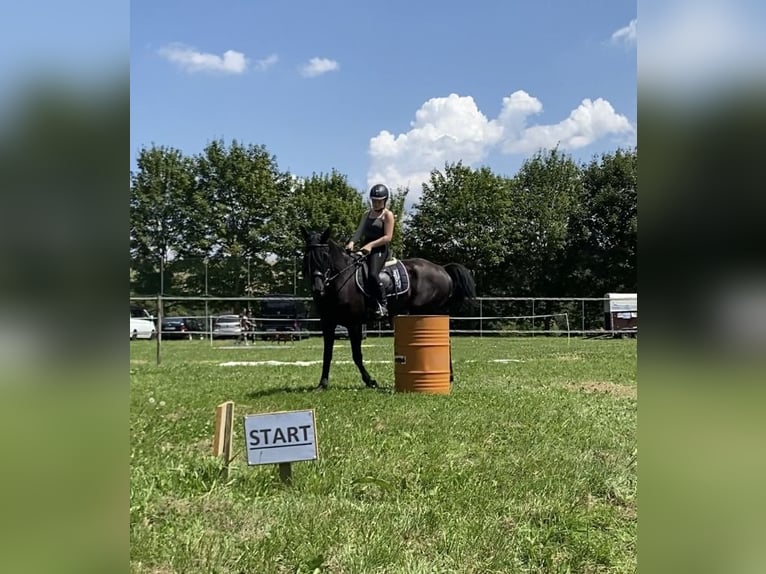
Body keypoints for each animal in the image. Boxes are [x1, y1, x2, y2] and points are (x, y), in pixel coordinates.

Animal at [304, 227, 476, 390]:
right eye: (307, 257)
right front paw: (322, 384)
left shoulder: (354, 324)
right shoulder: (328, 323)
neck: (341, 280)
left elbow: (356, 355)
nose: (317, 288)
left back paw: (449, 376)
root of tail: (442, 269)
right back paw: (449, 376)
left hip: (427, 312)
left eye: (325, 255)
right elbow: (327, 354)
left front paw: (371, 381)